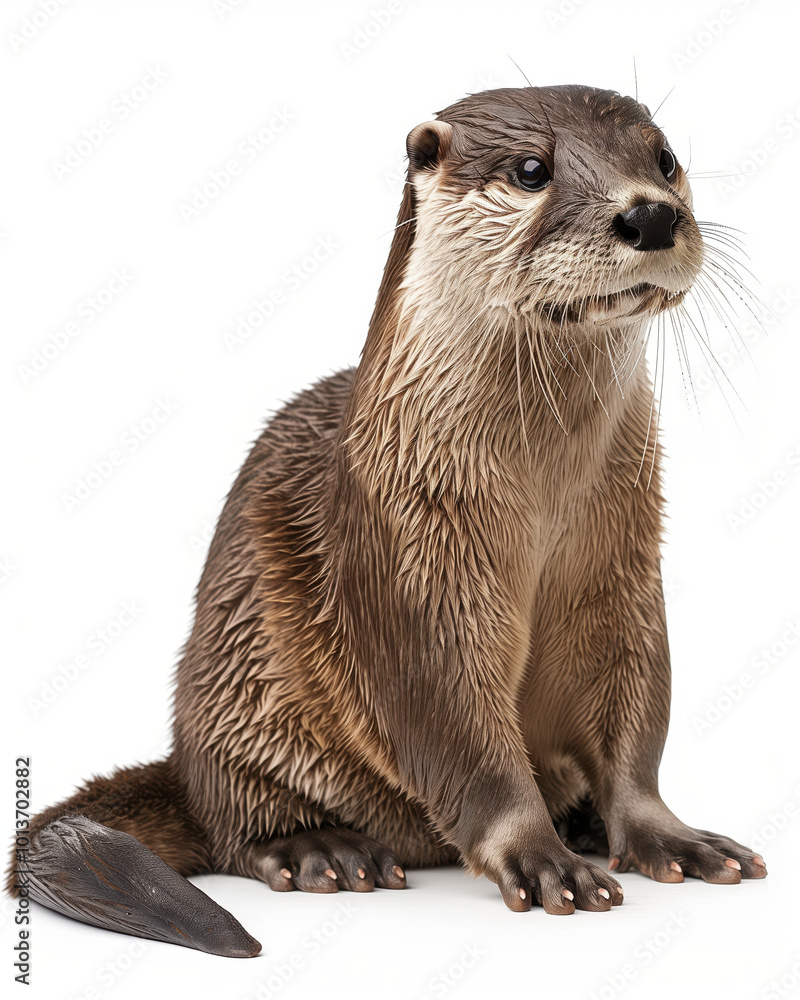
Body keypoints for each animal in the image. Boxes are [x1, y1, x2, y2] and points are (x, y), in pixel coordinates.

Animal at [8, 84, 767, 958]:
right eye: (531, 170)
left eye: (665, 159)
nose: (649, 214)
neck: (541, 497)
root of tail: (188, 764)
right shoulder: (407, 557)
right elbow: (454, 726)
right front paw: (542, 858)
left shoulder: (627, 566)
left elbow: (635, 711)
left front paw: (668, 837)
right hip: (243, 682)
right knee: (238, 823)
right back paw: (324, 849)